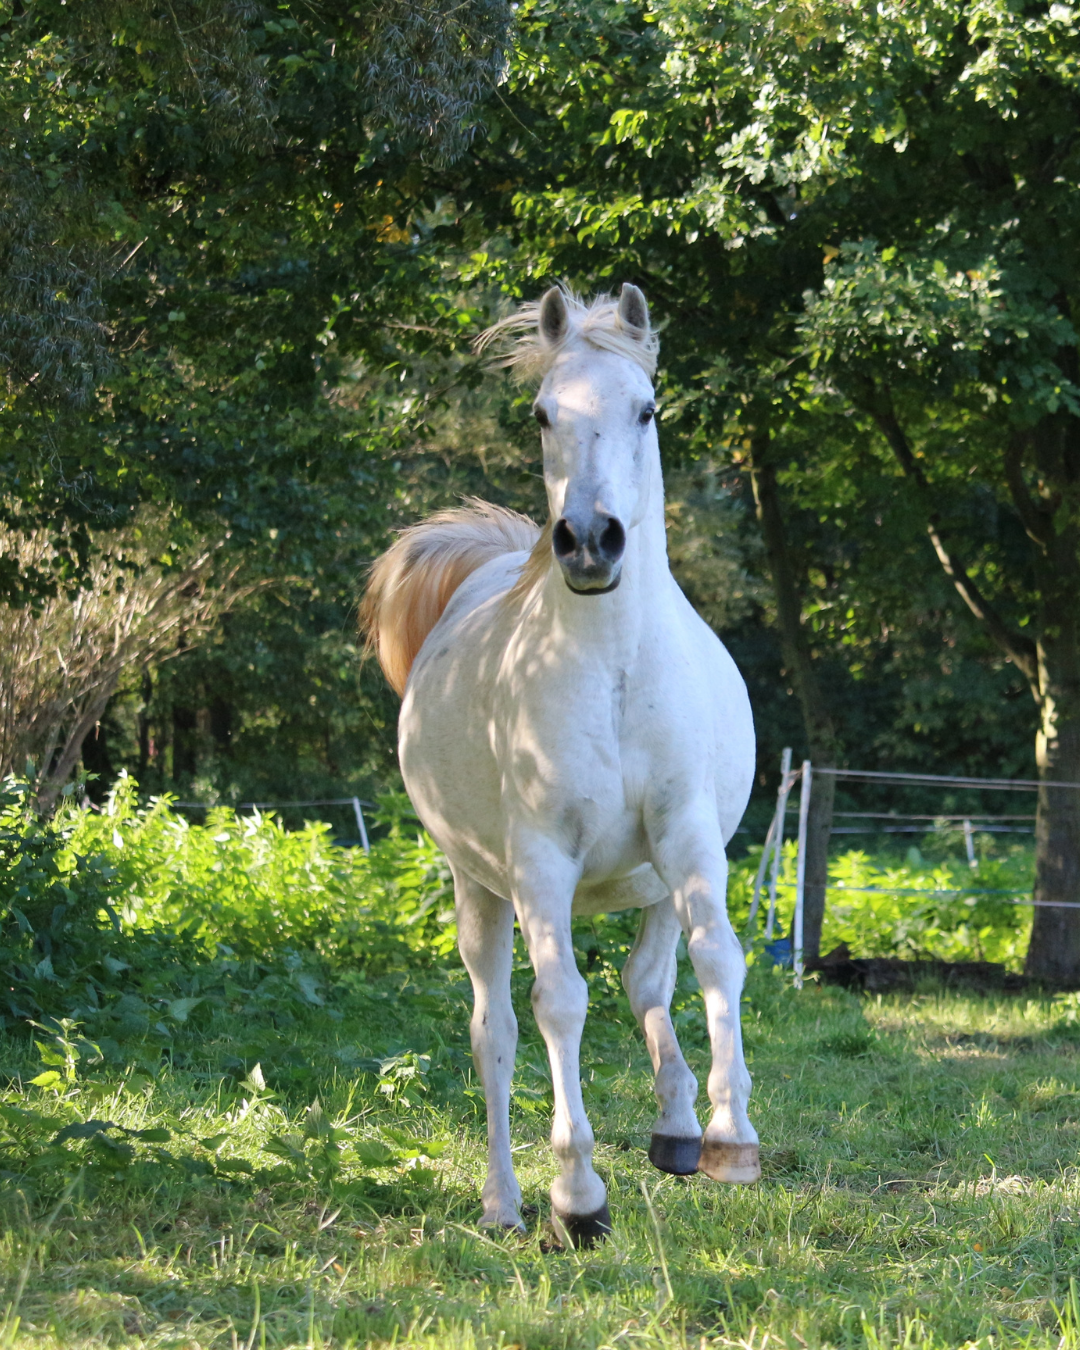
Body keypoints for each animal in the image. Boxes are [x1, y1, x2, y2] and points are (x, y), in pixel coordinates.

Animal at [361, 284, 758, 1247]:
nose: (588, 541)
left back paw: (678, 1128)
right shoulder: (542, 861)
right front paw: (577, 1196)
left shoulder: (688, 835)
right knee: (497, 1031)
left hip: (649, 883)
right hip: (480, 889)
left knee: (650, 982)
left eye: (646, 409)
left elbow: (716, 960)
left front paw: (731, 1136)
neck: (612, 668)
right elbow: (559, 1005)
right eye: (544, 413)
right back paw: (506, 1202)